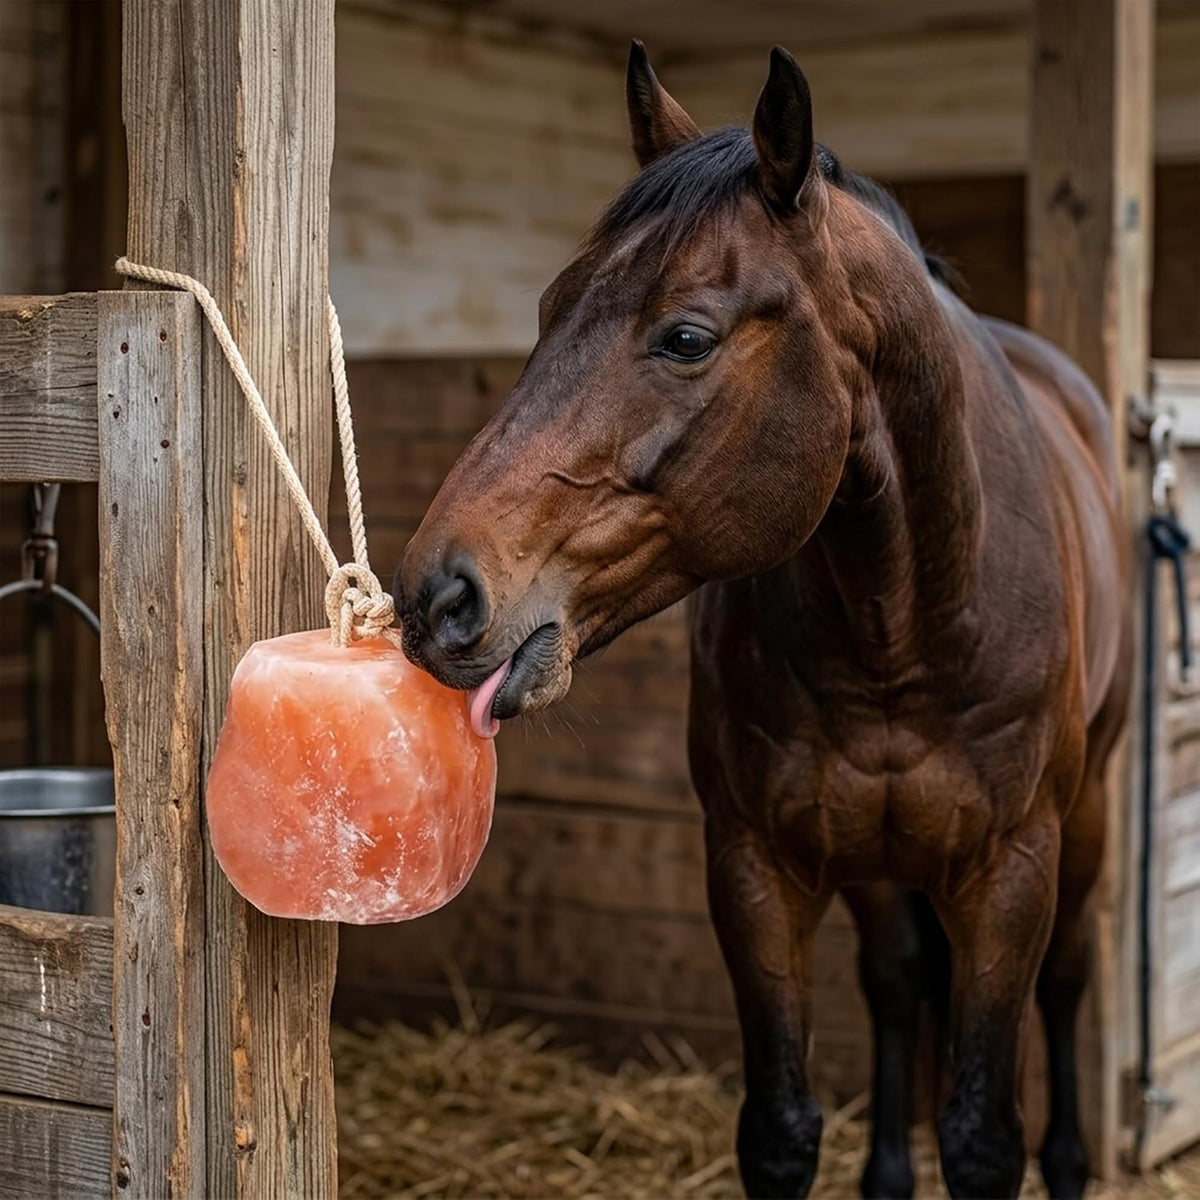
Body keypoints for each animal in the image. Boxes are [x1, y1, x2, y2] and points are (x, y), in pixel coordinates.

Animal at [396, 41, 1131, 1200]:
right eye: (551, 306)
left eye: (687, 337)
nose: (438, 596)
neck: (903, 630)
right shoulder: (755, 868)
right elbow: (782, 1126)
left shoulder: (1010, 872)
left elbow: (982, 1134)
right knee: (895, 979)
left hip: (1087, 809)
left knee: (1067, 979)